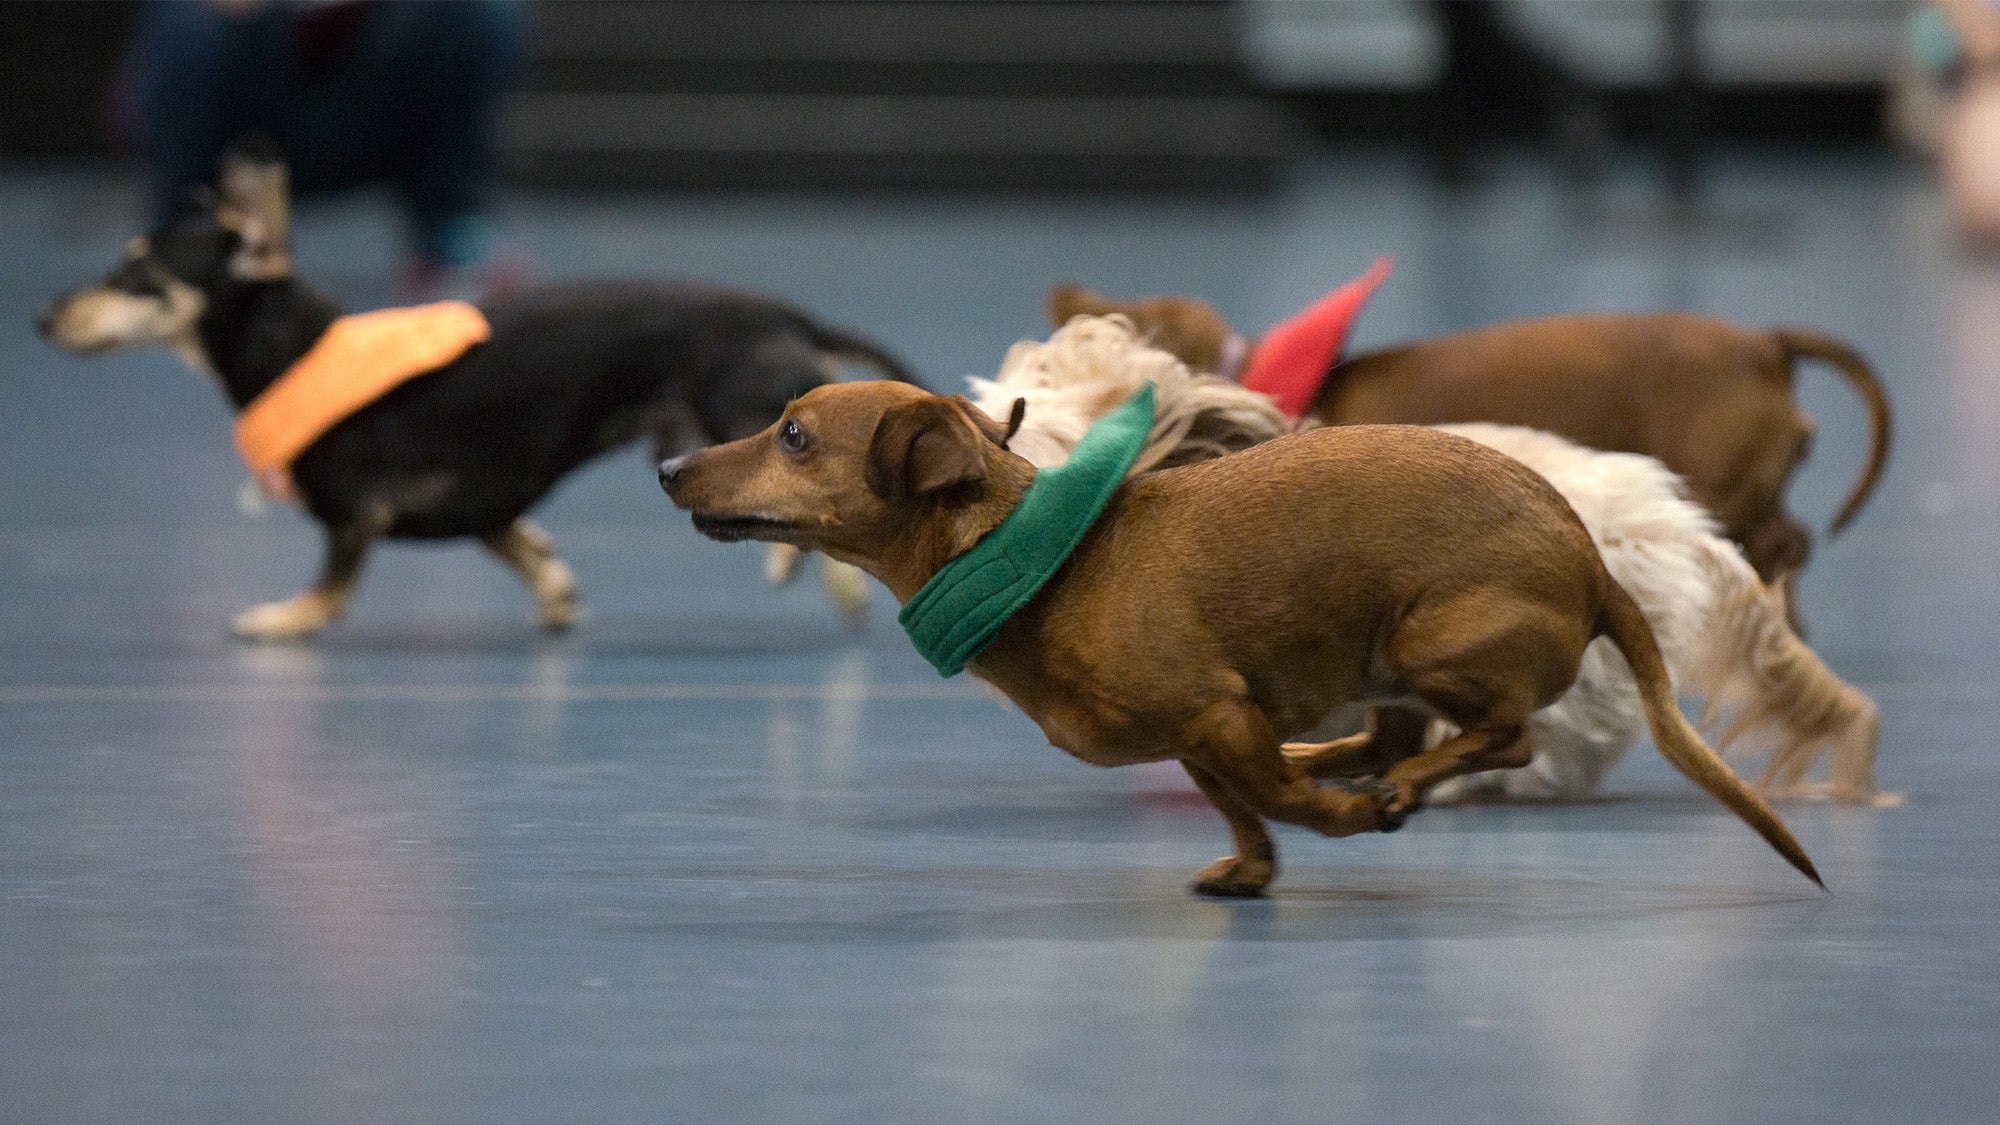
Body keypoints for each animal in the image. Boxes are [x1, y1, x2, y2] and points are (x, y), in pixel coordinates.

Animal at [41, 138, 916, 640]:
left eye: (136, 274)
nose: (42, 318)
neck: (296, 349)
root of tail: (780, 311)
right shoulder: (478, 504)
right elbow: (521, 546)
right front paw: (556, 591)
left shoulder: (353, 514)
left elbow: (332, 583)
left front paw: (287, 618)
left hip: (744, 418)